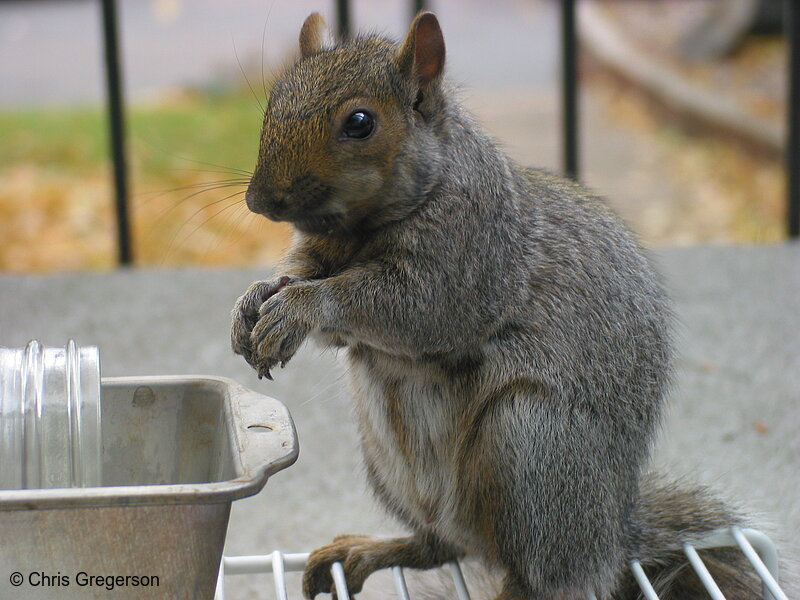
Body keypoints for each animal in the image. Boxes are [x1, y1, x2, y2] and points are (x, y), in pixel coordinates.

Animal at [231, 9, 768, 600]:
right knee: (439, 545)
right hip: (390, 463)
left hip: (529, 450)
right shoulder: (321, 250)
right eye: (275, 99)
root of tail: (610, 542)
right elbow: (304, 282)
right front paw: (256, 300)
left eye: (360, 122)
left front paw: (301, 307)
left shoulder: (469, 260)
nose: (259, 200)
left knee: (536, 573)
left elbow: (404, 307)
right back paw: (368, 550)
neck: (359, 230)